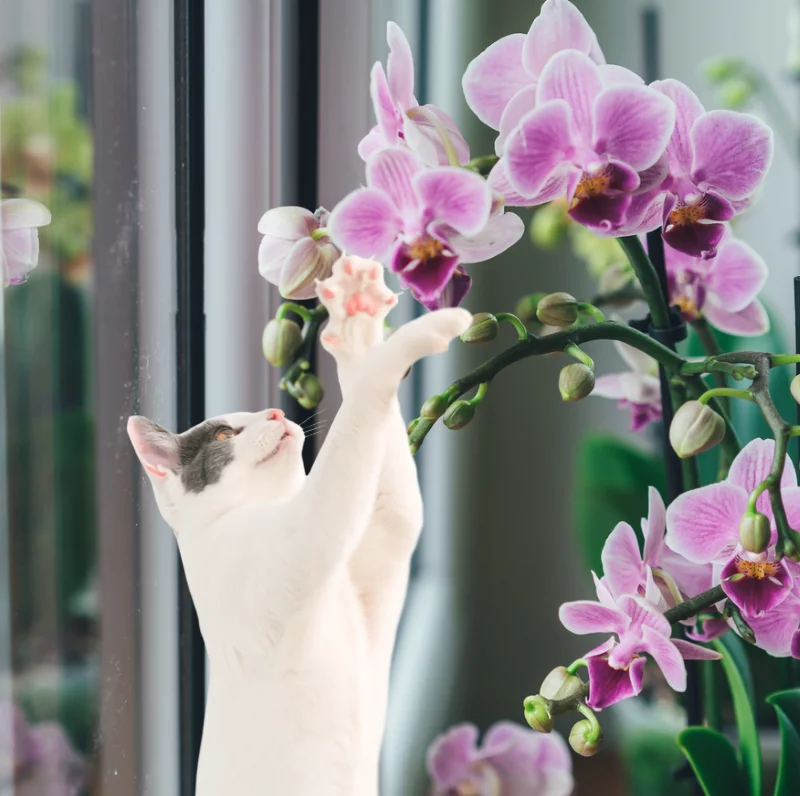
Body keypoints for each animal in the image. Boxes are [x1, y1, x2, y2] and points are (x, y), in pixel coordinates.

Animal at [128, 256, 472, 796]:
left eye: (259, 411)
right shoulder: (313, 525)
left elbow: (400, 505)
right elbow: (361, 413)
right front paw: (418, 330)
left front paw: (356, 324)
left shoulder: (385, 544)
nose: (275, 411)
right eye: (224, 434)